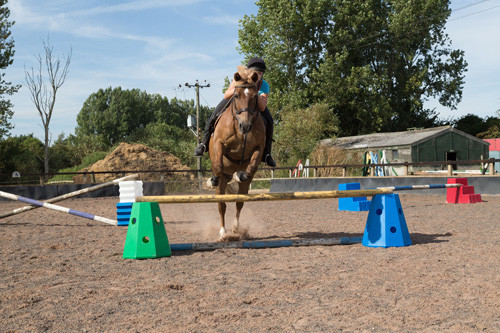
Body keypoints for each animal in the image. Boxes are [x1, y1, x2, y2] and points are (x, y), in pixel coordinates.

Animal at [207, 67, 268, 239]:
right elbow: (218, 165)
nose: (245, 126)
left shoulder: (259, 147)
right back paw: (223, 232)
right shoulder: (219, 143)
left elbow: (252, 166)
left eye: (255, 97)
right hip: (222, 181)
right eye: (236, 96)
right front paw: (213, 179)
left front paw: (241, 175)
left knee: (239, 202)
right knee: (221, 204)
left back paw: (235, 228)